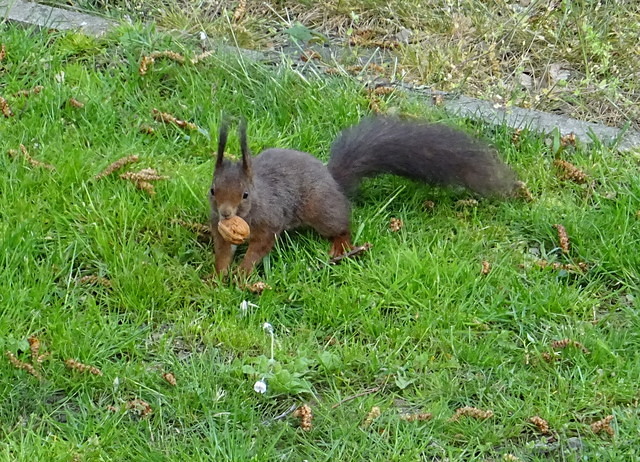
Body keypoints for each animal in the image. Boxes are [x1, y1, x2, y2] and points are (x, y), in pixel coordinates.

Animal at [209, 115, 518, 275]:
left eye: (245, 194)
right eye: (212, 190)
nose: (225, 213)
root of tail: (332, 178)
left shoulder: (270, 220)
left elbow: (259, 248)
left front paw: (242, 273)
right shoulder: (219, 229)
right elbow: (223, 250)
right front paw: (219, 275)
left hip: (321, 210)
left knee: (341, 223)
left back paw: (341, 245)